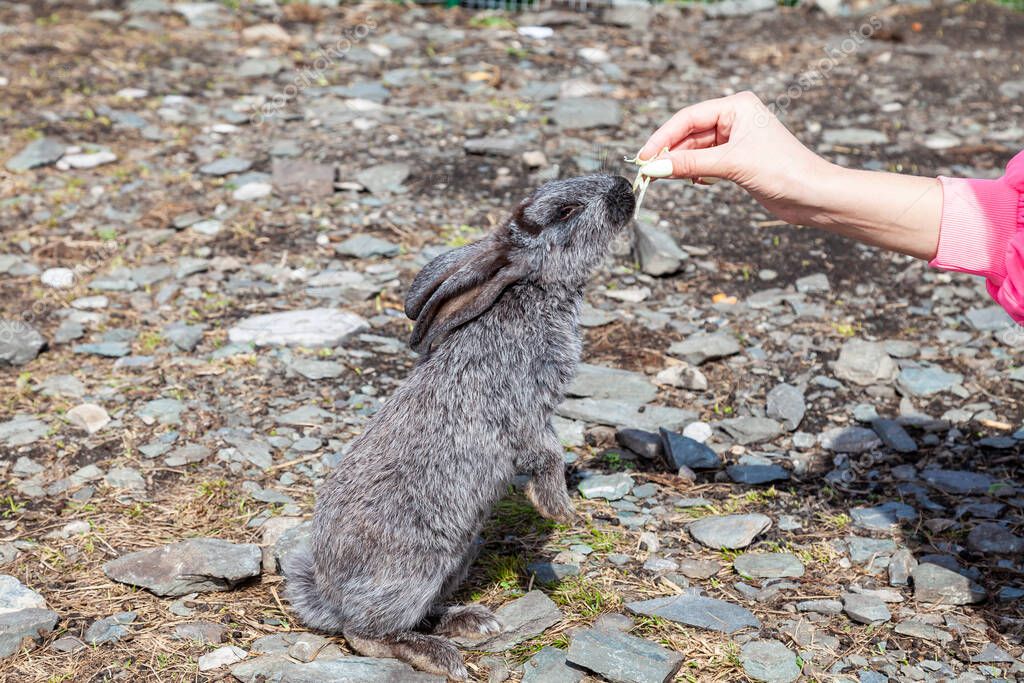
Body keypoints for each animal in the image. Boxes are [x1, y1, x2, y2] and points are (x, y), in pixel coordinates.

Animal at [284, 174, 634, 679]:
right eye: (565, 211)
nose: (625, 185)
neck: (533, 295)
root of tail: (329, 599)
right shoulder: (524, 410)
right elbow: (547, 456)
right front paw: (561, 512)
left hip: (458, 557)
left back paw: (470, 621)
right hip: (413, 571)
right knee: (364, 634)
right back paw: (440, 655)